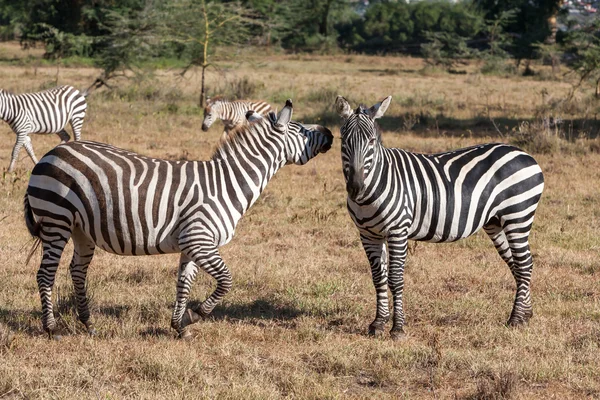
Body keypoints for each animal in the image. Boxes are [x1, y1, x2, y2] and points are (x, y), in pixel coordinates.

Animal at [23, 98, 332, 340]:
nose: (329, 132)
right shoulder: (199, 240)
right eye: (302, 129)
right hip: (57, 218)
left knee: (77, 271)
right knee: (46, 273)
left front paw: (180, 326)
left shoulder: (191, 244)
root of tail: (51, 153)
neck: (227, 182)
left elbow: (184, 284)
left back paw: (88, 324)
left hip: (81, 229)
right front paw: (195, 315)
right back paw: (51, 328)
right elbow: (226, 281)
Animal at [336, 95, 548, 340]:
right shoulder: (368, 234)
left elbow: (395, 278)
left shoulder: (398, 231)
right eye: (343, 141)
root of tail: (524, 153)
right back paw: (526, 313)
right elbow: (378, 278)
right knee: (516, 263)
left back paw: (515, 318)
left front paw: (398, 328)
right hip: (495, 222)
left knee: (524, 263)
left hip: (518, 216)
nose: (355, 187)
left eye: (371, 141)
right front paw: (378, 323)